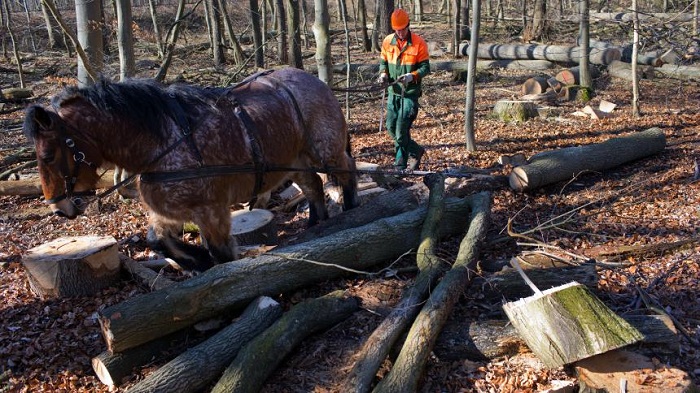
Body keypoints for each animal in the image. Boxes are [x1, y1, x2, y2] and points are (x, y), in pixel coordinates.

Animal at [23, 68, 358, 270]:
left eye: (48, 155)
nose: (59, 208)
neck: (164, 141)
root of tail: (316, 81)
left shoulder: (211, 211)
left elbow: (221, 254)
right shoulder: (169, 211)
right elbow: (157, 240)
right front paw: (196, 260)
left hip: (325, 150)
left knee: (346, 171)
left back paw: (352, 209)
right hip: (294, 160)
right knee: (313, 185)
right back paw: (316, 224)